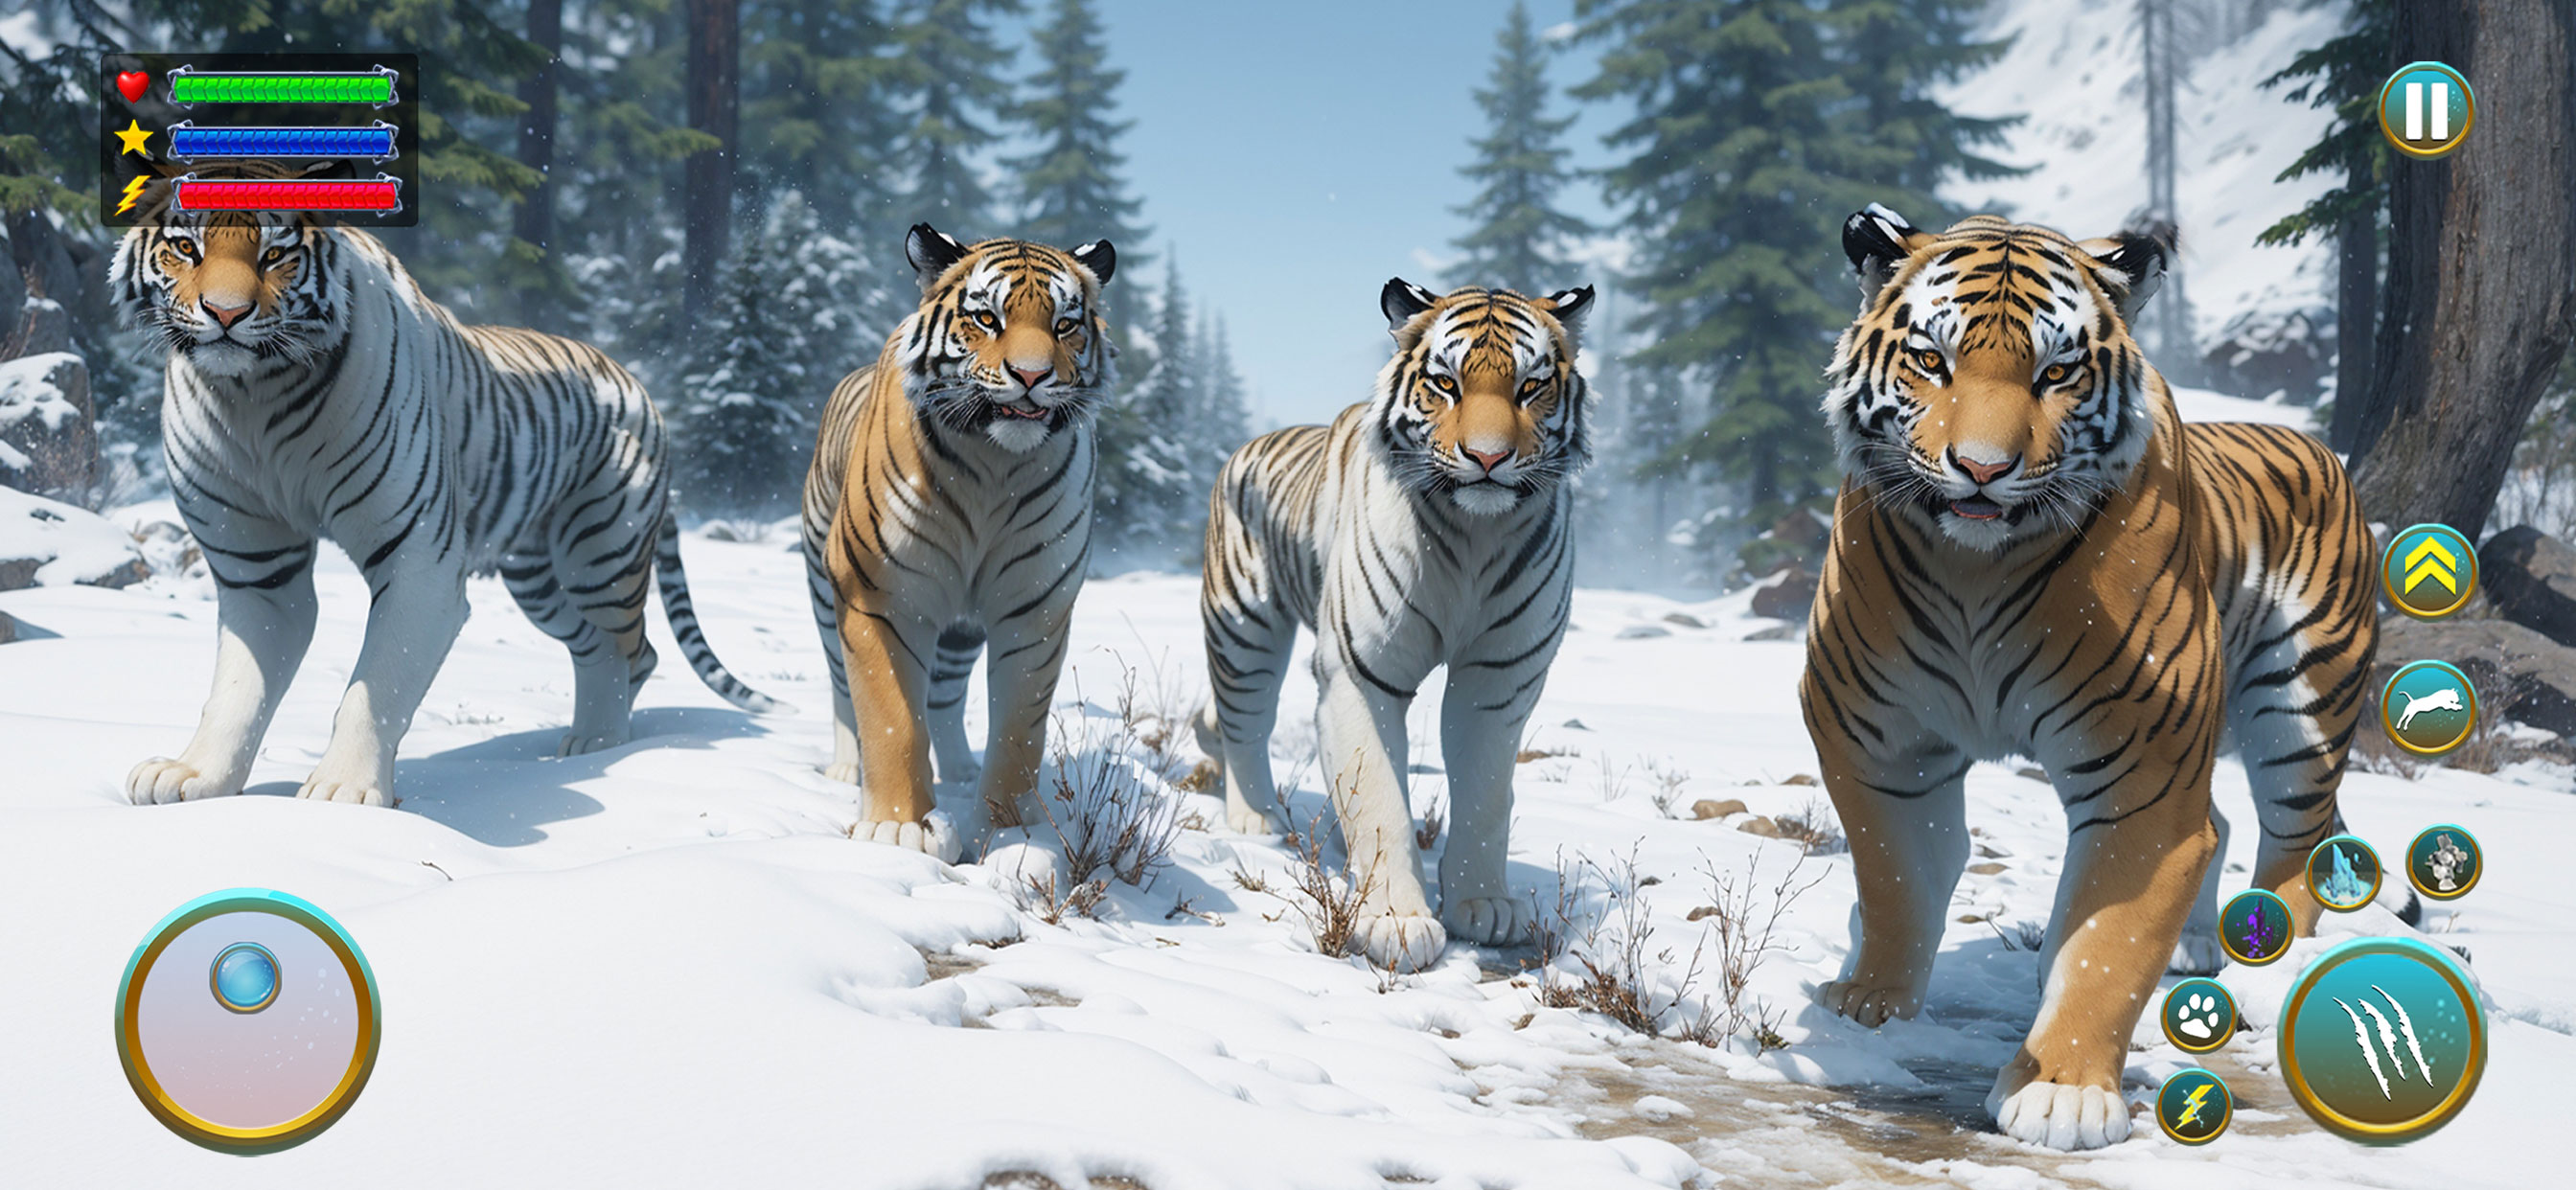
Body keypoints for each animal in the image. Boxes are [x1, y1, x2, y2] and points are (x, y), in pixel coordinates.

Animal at [111, 205, 776, 809]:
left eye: (276, 253)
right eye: (186, 247)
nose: (225, 314)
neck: (252, 392)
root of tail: (642, 389)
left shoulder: (417, 559)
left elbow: (377, 685)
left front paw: (342, 793)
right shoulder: (259, 570)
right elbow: (237, 687)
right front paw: (197, 777)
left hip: (601, 552)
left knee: (626, 647)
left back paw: (601, 743)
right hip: (537, 579)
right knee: (605, 647)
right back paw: (587, 745)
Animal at [806, 224, 1116, 862]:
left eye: (1064, 324)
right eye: (988, 318)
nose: (1032, 376)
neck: (994, 464)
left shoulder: (1034, 610)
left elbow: (1020, 732)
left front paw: (1007, 836)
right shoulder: (879, 596)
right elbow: (891, 716)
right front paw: (896, 829)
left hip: (960, 629)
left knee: (945, 698)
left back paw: (958, 771)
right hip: (827, 596)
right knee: (842, 687)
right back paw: (848, 769)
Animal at [1194, 279, 1594, 973]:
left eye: (1529, 387)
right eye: (1447, 384)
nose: (1488, 457)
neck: (1475, 534)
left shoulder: (1498, 679)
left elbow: (1488, 794)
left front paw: (1482, 905)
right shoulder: (1361, 675)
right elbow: (1378, 796)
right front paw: (1397, 925)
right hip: (1243, 626)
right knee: (1245, 722)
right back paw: (1256, 819)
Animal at [1803, 206, 2378, 1150]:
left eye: (2057, 372)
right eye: (1933, 361)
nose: (1982, 469)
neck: (1973, 568)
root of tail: (2319, 448)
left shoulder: (2144, 783)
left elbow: (2107, 943)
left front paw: (2063, 1092)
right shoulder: (1882, 748)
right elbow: (1895, 880)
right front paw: (1870, 1007)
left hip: (2303, 709)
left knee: (2298, 840)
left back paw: (2269, 963)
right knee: (2228, 824)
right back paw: (2196, 947)